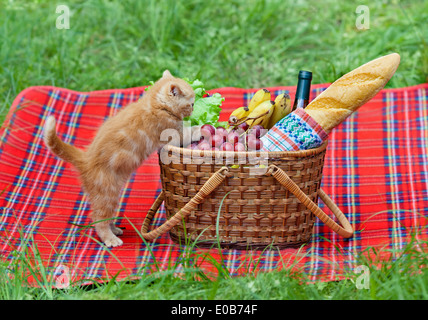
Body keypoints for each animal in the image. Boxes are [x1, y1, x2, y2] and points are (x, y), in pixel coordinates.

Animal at [44, 71, 196, 248]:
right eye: (191, 104)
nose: (193, 110)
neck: (154, 103)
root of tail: (85, 159)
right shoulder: (172, 133)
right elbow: (189, 132)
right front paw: (200, 128)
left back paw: (115, 229)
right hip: (107, 194)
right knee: (98, 219)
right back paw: (110, 239)